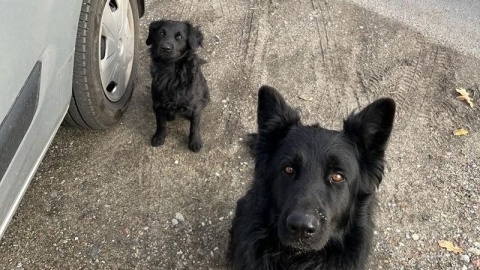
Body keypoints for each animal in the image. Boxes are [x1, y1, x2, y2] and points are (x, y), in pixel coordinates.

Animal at [144, 19, 208, 152]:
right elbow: (160, 123)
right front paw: (159, 137)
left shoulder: (195, 107)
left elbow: (194, 125)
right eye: (161, 33)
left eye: (179, 37)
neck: (171, 71)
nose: (165, 48)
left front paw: (195, 141)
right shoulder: (157, 104)